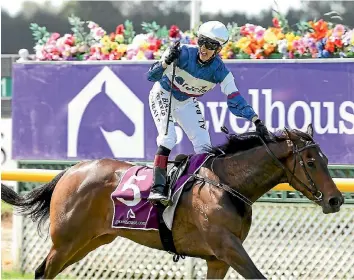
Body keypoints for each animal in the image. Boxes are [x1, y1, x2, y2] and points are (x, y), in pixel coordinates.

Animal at [0, 124, 342, 280]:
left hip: (90, 241)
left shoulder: (217, 259)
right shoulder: (227, 247)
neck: (227, 184)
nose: (336, 199)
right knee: (43, 272)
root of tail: (70, 171)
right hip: (67, 241)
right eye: (311, 162)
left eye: (325, 159)